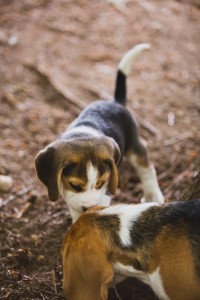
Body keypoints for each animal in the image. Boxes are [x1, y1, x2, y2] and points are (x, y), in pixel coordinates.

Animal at [35, 43, 163, 221]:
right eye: (75, 185)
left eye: (101, 183)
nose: (88, 207)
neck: (82, 135)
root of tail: (116, 102)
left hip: (134, 145)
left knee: (147, 167)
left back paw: (153, 195)